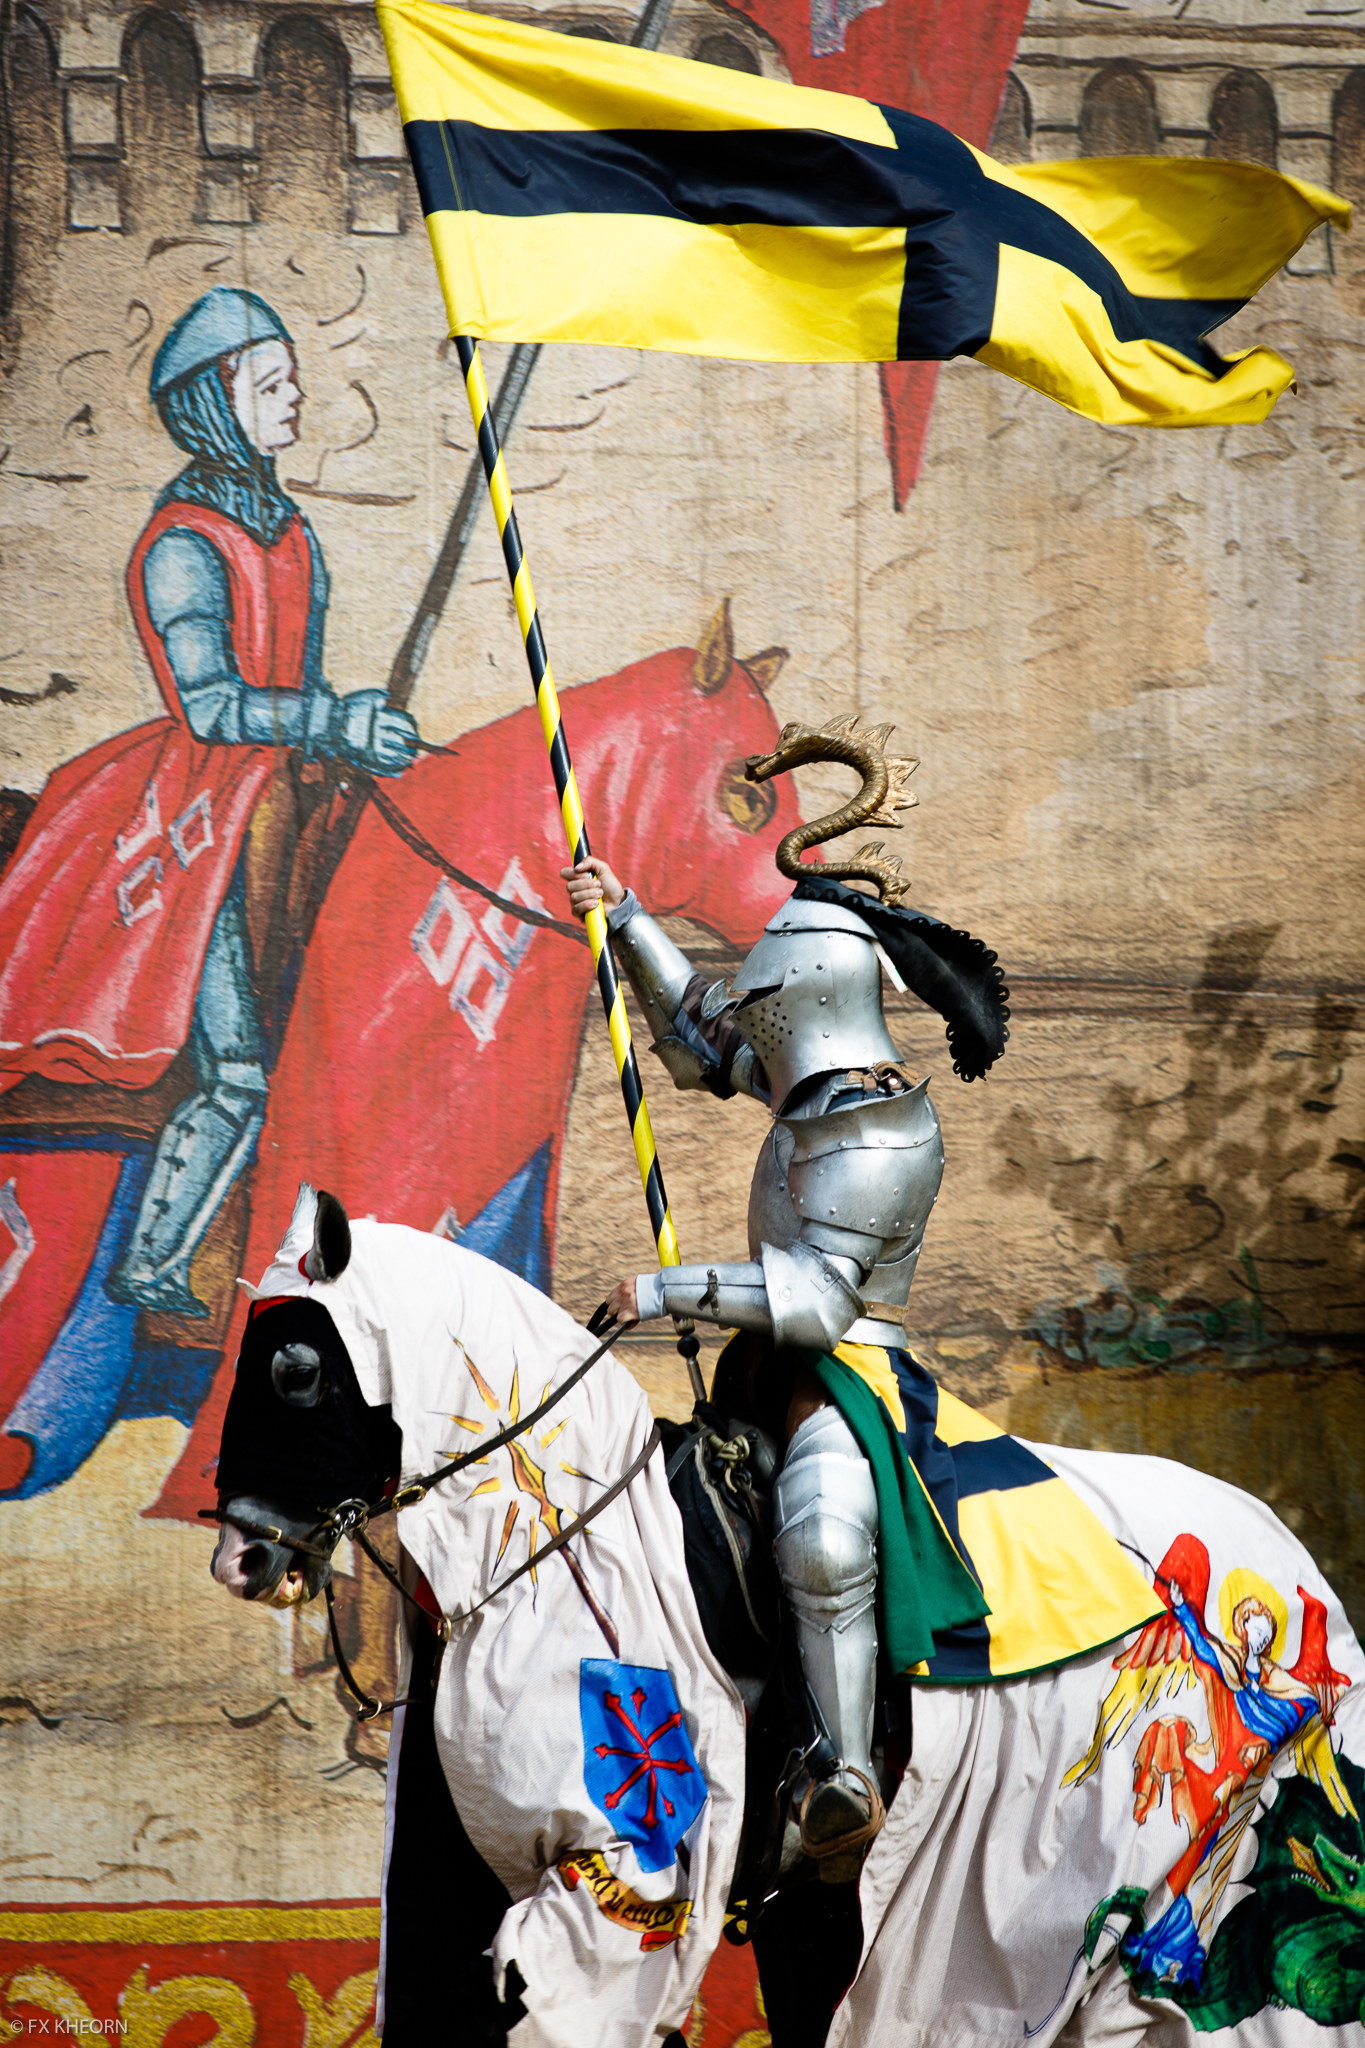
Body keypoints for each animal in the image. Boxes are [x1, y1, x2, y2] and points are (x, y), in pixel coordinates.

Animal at [209, 1185, 1365, 2048]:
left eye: (296, 1367)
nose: (242, 1554)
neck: (556, 1549)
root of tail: (1288, 1556)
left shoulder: (624, 1882)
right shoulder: (476, 1885)